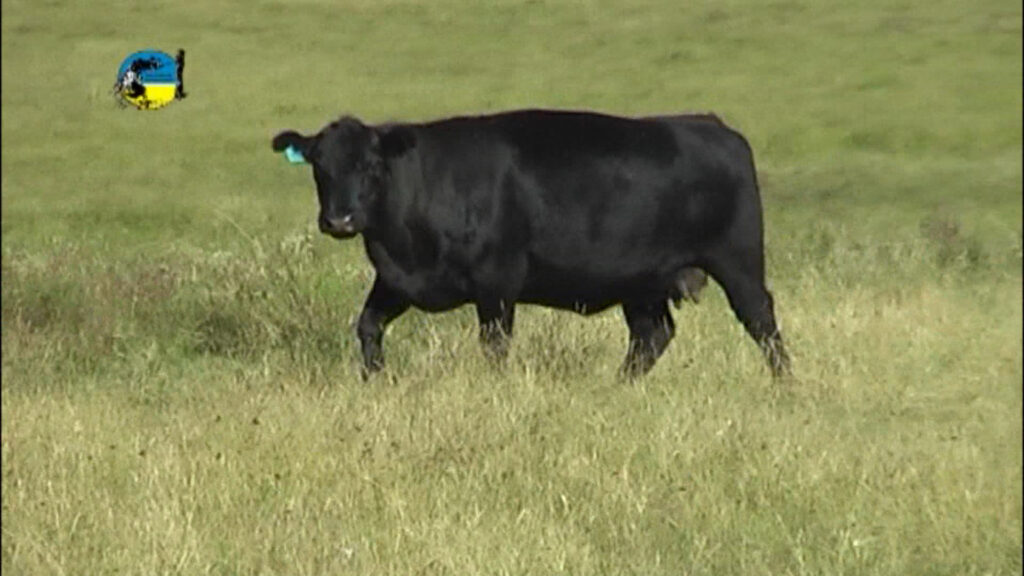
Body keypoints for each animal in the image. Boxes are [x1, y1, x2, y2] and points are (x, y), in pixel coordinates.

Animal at [271, 109, 791, 379]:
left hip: (738, 261)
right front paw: (377, 378)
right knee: (652, 334)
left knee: (762, 323)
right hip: (641, 282)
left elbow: (495, 344)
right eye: (320, 166)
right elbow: (368, 325)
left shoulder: (498, 280)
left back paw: (784, 386)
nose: (340, 219)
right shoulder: (397, 281)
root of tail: (709, 124)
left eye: (372, 166)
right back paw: (618, 386)